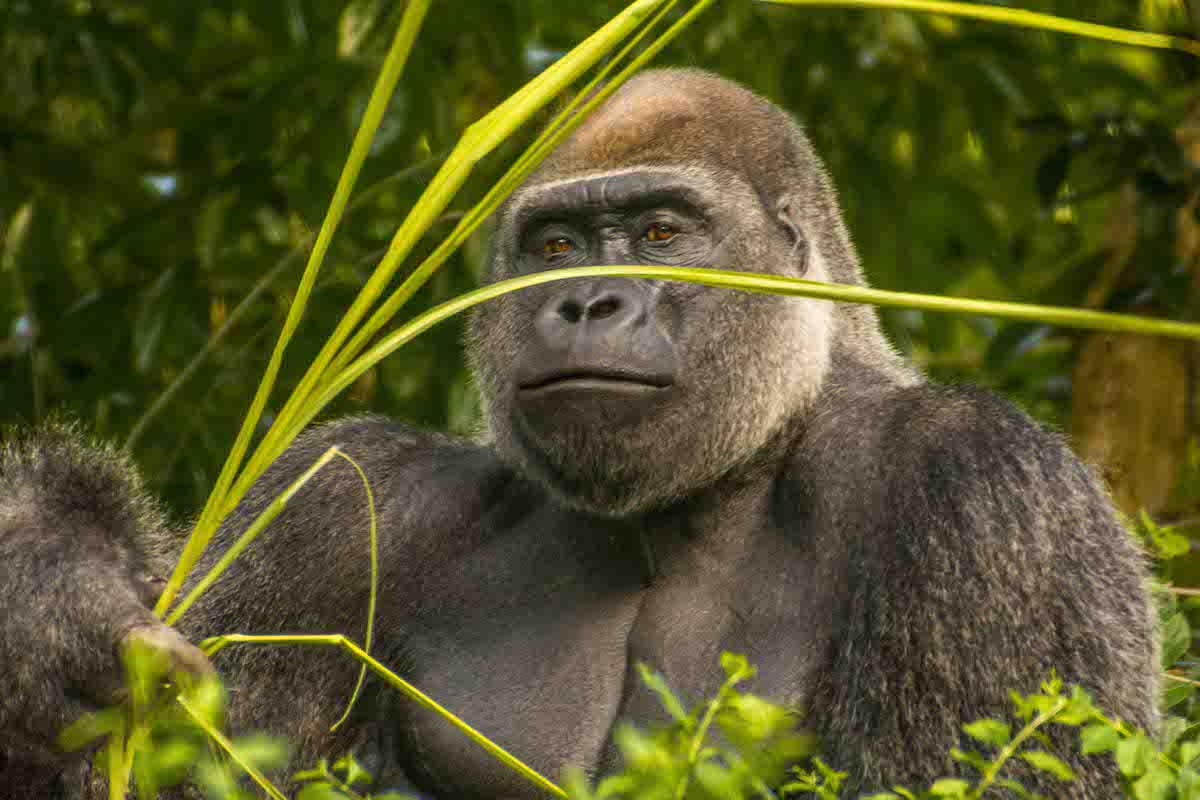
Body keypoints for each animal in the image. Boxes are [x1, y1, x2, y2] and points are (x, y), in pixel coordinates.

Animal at [0, 69, 1157, 798]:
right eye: (555, 245)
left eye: (659, 231)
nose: (586, 301)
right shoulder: (341, 501)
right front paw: (48, 606)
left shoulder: (988, 490)